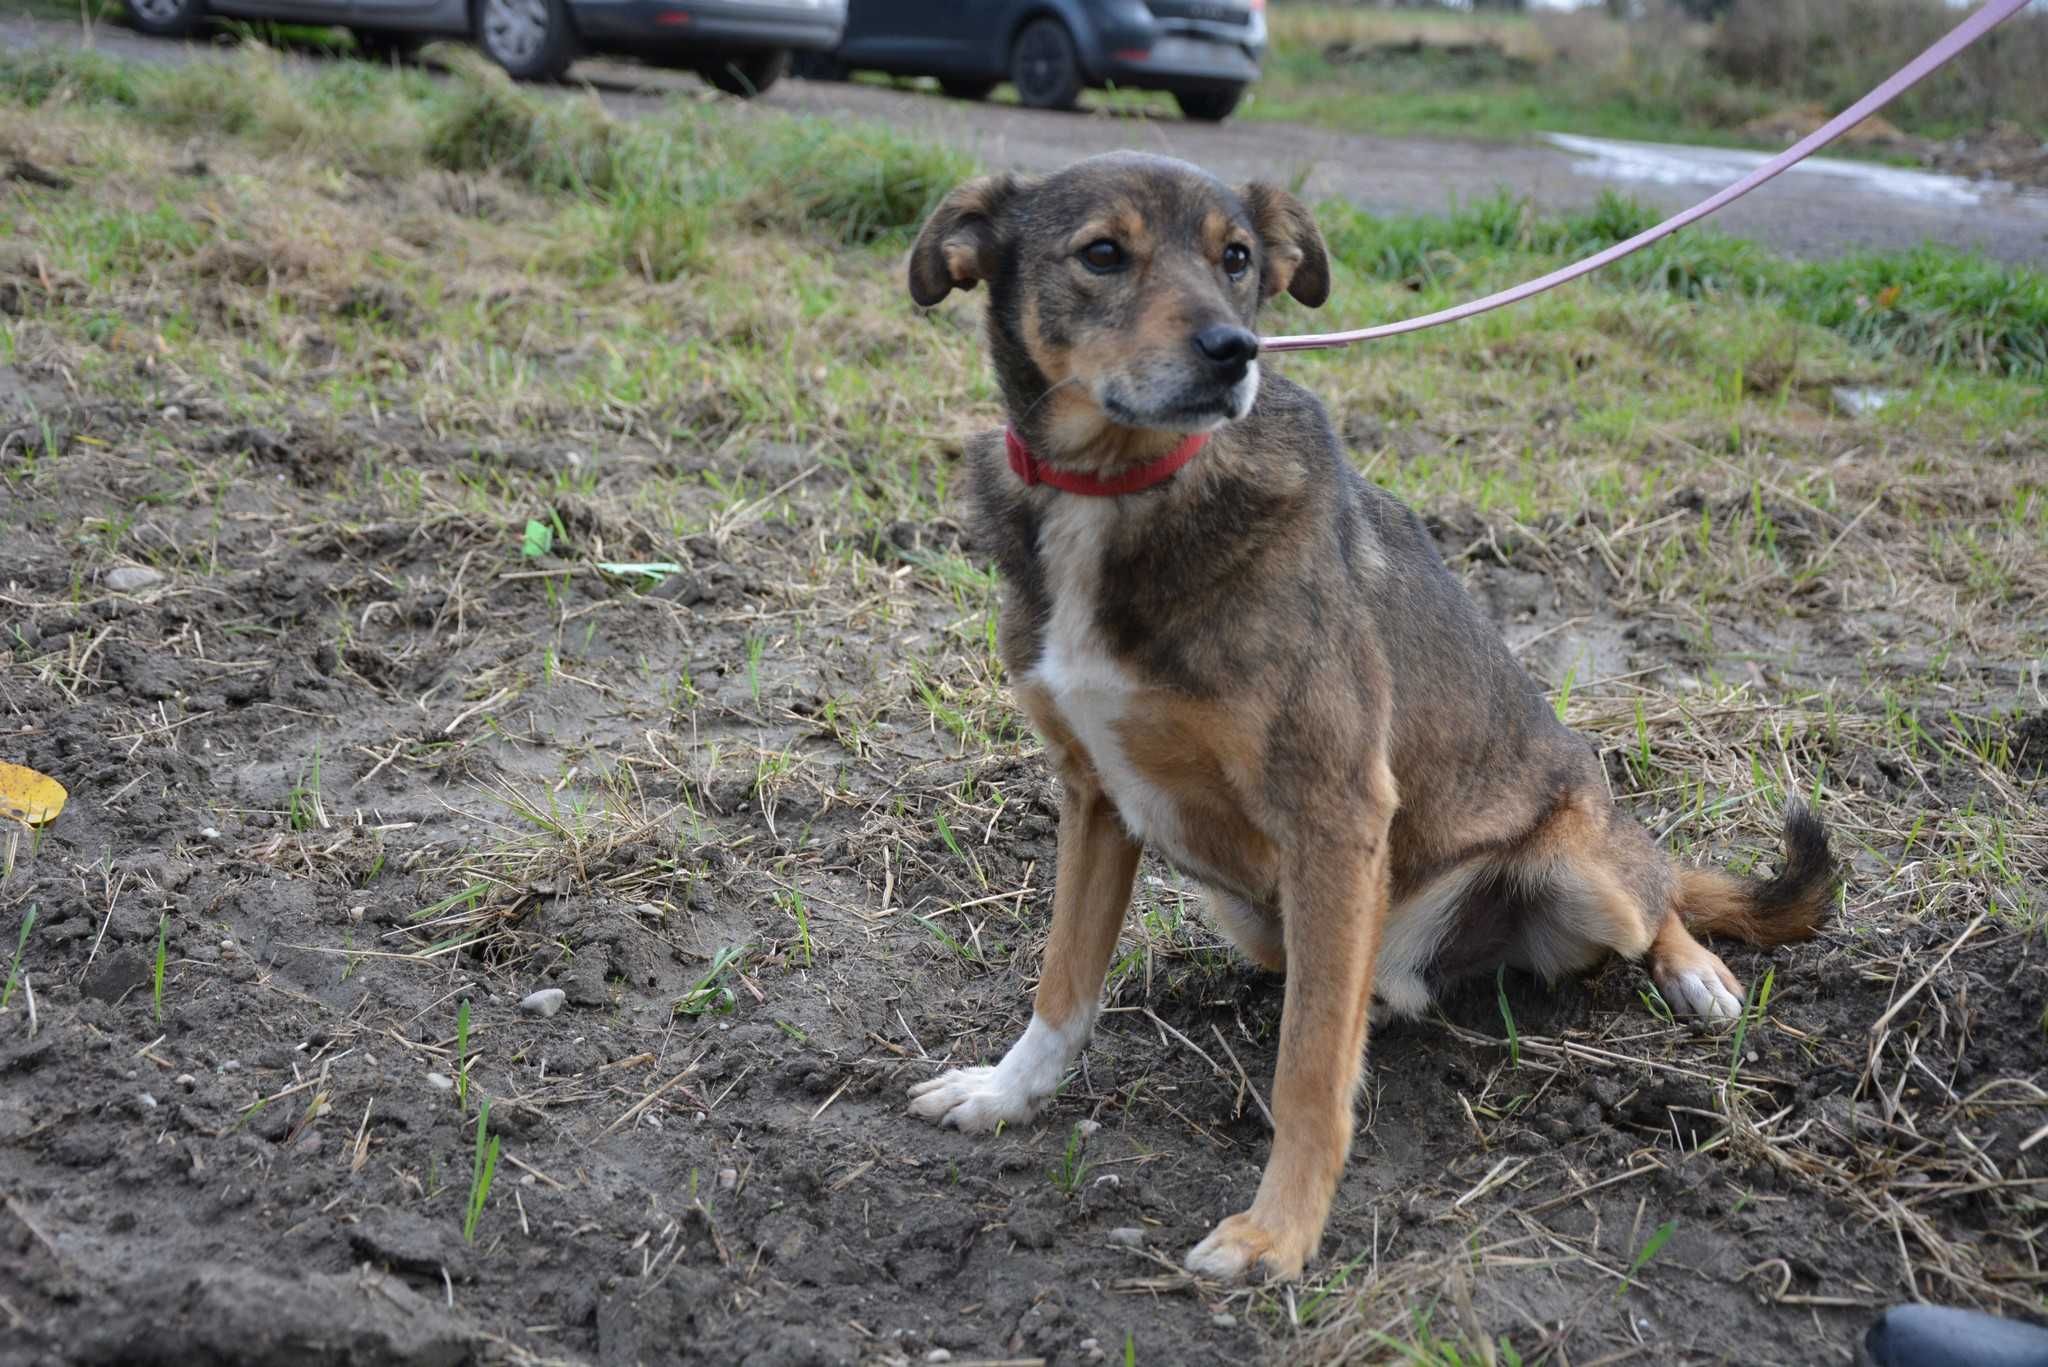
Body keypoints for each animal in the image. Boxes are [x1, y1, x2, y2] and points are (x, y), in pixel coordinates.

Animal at [905, 152, 1835, 1287]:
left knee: (1656, 895)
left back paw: (1695, 970)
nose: (1234, 351)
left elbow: (1307, 1065)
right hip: (1260, 911)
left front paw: (1277, 1232)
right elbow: (1062, 983)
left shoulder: (1334, 810)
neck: (1122, 486)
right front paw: (1004, 1093)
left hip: (1579, 870)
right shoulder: (1095, 797)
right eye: (1102, 253)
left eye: (1236, 258)